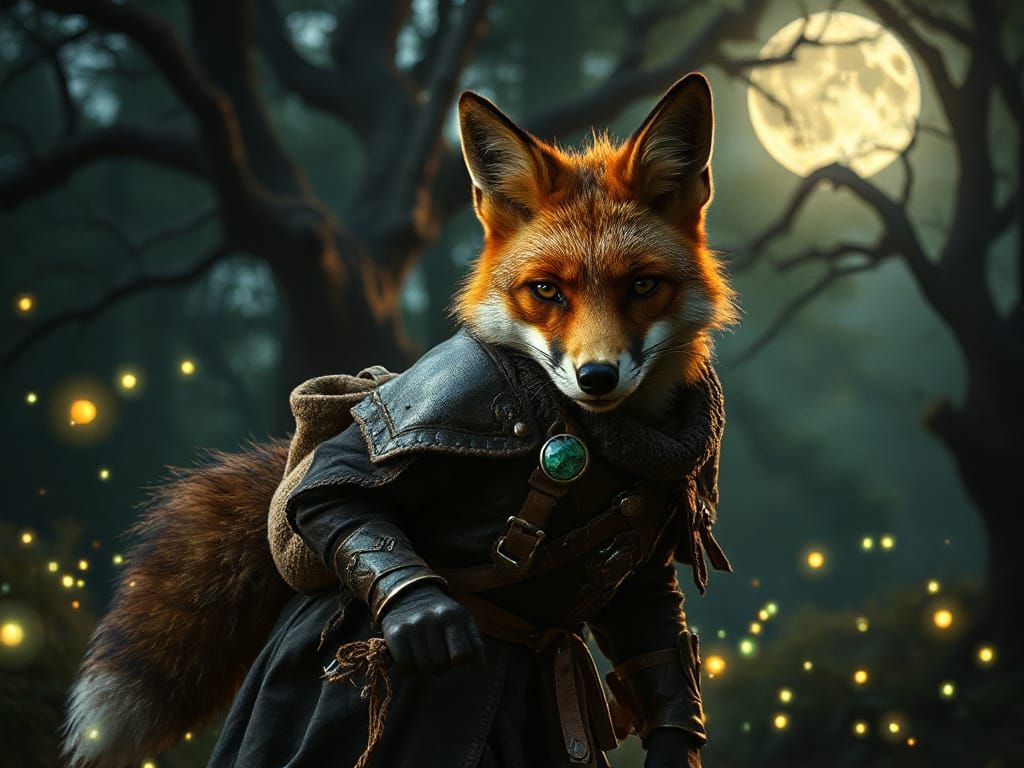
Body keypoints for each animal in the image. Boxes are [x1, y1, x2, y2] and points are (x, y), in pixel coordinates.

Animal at [64, 72, 735, 768]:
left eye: (642, 287)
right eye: (547, 291)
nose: (596, 377)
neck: (616, 438)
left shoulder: (649, 556)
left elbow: (653, 632)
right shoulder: (456, 393)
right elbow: (327, 488)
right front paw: (423, 613)